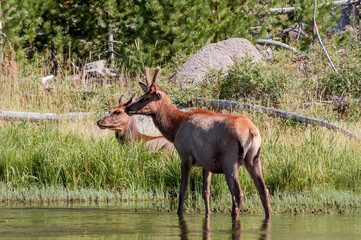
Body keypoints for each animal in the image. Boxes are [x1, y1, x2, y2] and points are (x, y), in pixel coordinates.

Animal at [126, 66, 270, 218]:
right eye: (142, 96)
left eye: (146, 98)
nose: (127, 108)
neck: (175, 128)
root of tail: (252, 131)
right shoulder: (206, 163)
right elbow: (205, 192)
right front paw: (208, 213)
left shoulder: (185, 155)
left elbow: (183, 189)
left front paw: (179, 212)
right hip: (254, 158)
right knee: (263, 190)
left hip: (230, 160)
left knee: (237, 193)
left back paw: (234, 215)